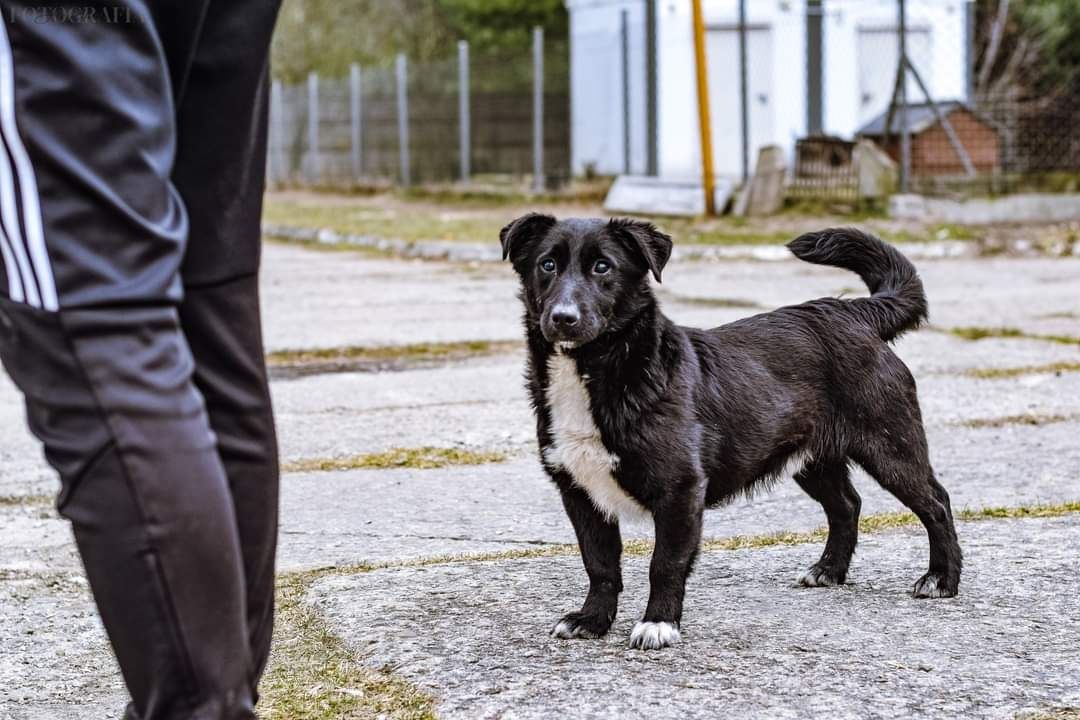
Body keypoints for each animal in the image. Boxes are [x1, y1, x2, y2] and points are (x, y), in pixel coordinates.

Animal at [501, 215, 967, 651]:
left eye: (603, 267)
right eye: (547, 265)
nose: (563, 318)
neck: (604, 370)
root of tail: (851, 313)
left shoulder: (681, 491)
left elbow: (664, 564)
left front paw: (658, 624)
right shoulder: (579, 493)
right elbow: (599, 565)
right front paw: (593, 620)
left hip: (891, 445)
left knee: (936, 503)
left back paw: (941, 579)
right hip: (811, 458)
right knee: (847, 505)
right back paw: (829, 570)